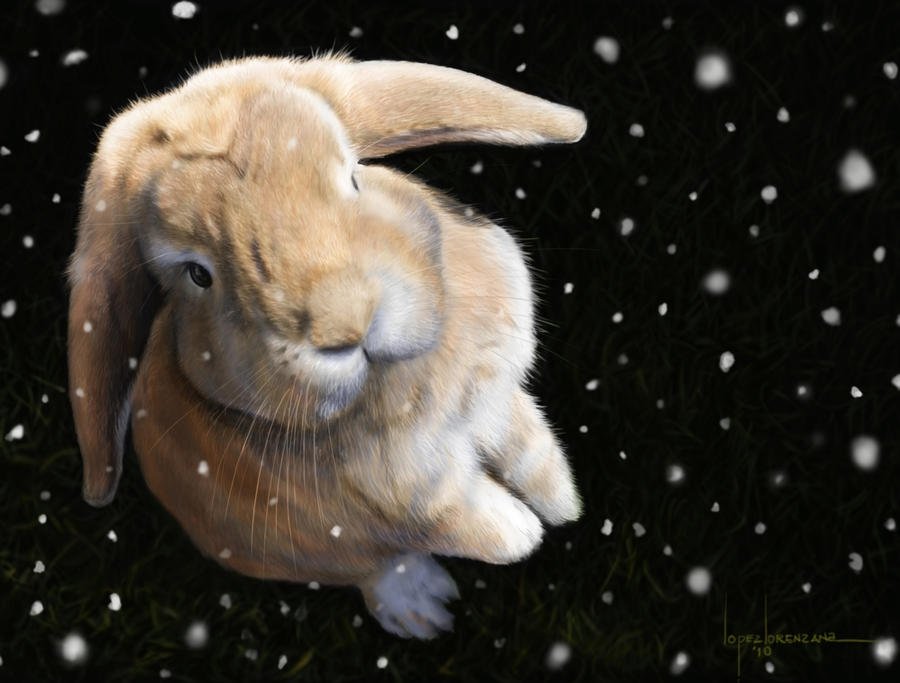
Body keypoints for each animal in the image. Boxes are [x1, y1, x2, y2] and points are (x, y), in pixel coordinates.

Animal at [67, 53, 585, 639]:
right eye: (197, 274)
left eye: (354, 176)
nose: (347, 322)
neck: (404, 382)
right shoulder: (414, 495)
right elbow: (470, 522)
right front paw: (524, 532)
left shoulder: (492, 401)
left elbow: (528, 447)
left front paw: (565, 503)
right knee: (371, 568)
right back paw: (424, 611)